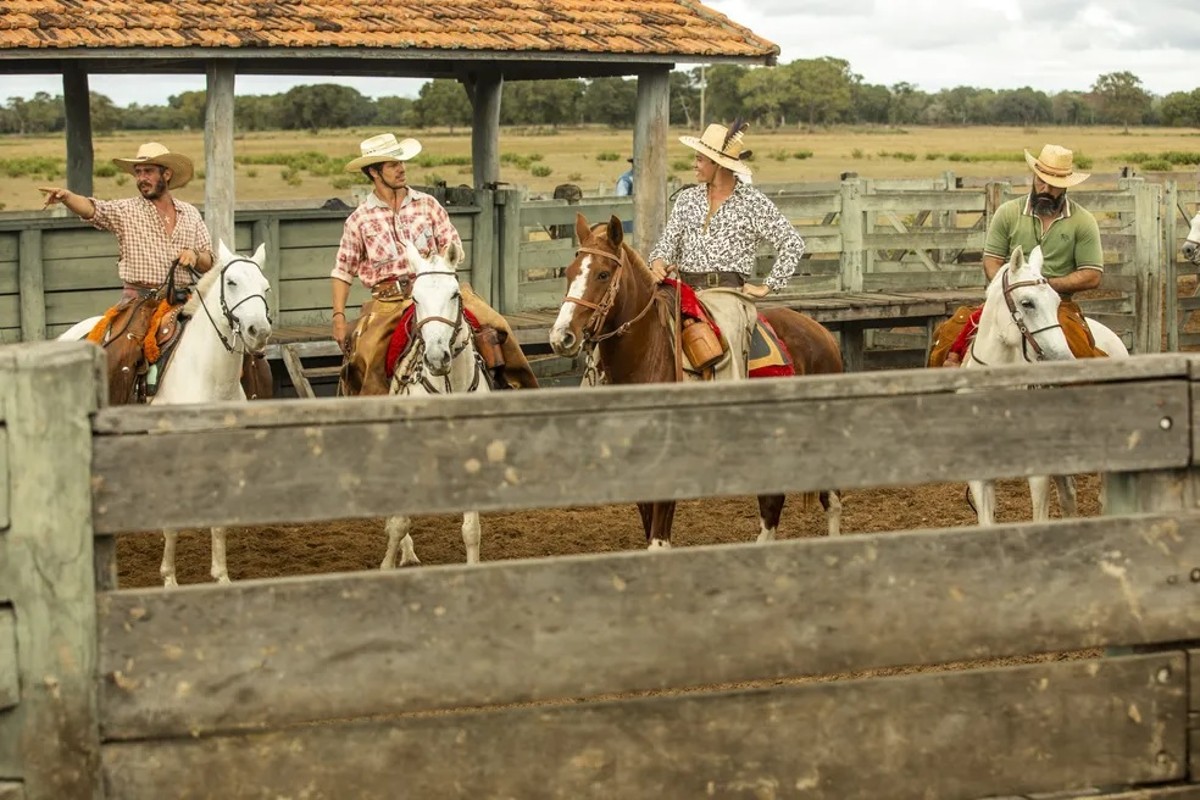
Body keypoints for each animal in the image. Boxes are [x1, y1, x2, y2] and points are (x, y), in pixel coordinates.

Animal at [59, 241, 273, 585]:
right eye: (231, 282)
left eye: (265, 287)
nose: (259, 331)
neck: (206, 375)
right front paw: (169, 579)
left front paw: (221, 576)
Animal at [549, 212, 840, 551]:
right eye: (570, 272)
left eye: (603, 274)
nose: (562, 337)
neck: (647, 353)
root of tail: (822, 334)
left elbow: (658, 539)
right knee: (772, 503)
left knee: (831, 500)